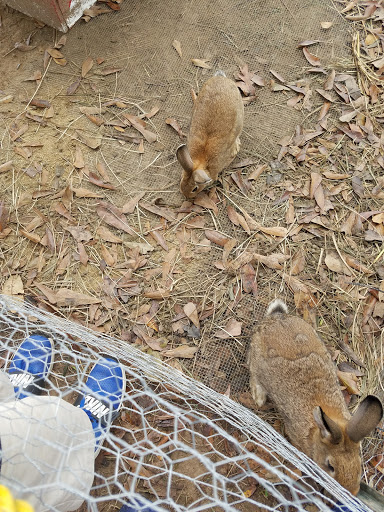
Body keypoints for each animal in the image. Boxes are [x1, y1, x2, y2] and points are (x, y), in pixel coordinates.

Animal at [248, 300, 382, 496]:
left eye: (358, 466)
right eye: (330, 466)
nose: (351, 492)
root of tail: (275, 318)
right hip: (256, 362)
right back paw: (259, 398)